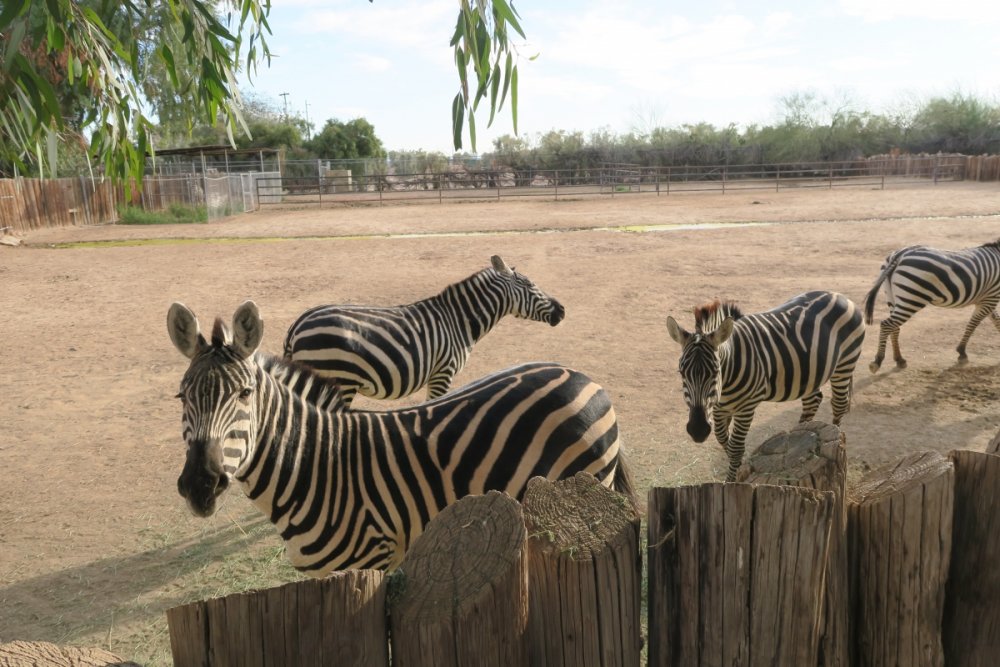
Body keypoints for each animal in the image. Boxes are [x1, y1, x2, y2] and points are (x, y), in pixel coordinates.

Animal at [168, 300, 630, 575]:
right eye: (181, 396)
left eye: (244, 394)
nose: (200, 484)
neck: (314, 468)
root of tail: (580, 375)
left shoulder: (369, 564)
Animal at [282, 255, 565, 406]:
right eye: (529, 285)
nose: (562, 310)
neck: (458, 321)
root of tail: (298, 323)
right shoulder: (443, 372)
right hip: (337, 379)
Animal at [665, 291, 865, 482]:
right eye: (681, 372)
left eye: (715, 371)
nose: (697, 431)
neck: (726, 382)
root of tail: (839, 296)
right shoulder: (720, 407)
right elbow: (723, 438)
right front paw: (740, 466)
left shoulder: (746, 408)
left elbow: (736, 446)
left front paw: (732, 481)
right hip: (810, 372)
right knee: (813, 400)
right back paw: (799, 432)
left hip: (845, 363)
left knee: (839, 404)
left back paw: (835, 430)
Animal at [864, 240, 1000, 373]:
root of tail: (899, 254)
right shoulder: (991, 298)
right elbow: (974, 323)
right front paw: (961, 352)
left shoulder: (986, 299)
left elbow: (995, 320)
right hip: (912, 298)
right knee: (887, 324)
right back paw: (877, 361)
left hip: (892, 297)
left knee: (895, 327)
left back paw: (900, 359)